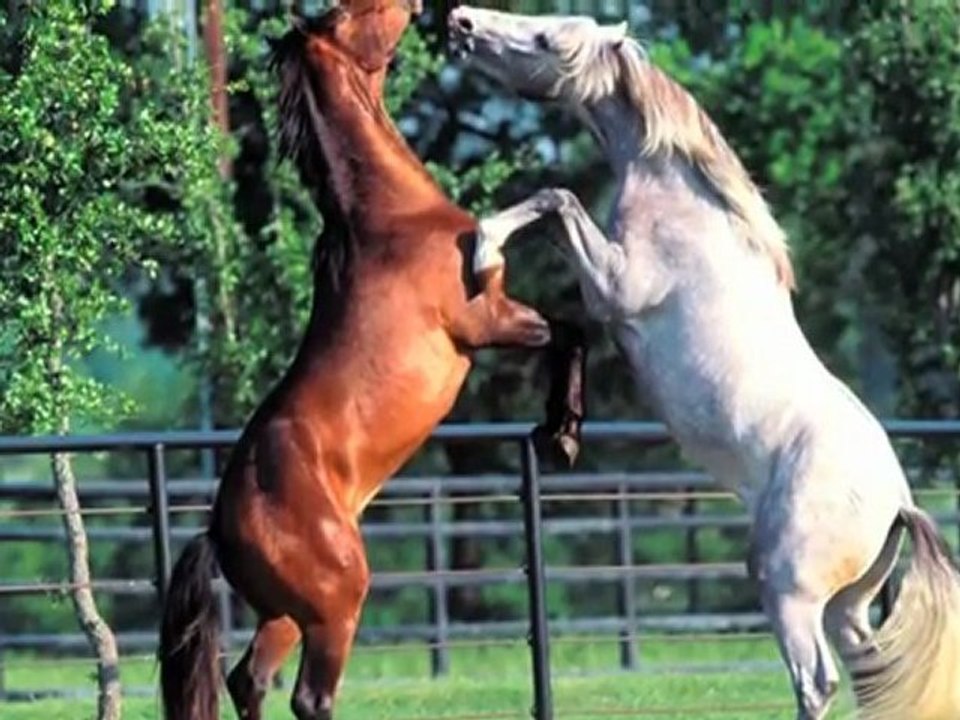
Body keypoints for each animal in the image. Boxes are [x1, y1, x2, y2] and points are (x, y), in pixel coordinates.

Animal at [157, 4, 587, 719]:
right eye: (347, 12)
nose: (417, 8)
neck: (390, 217)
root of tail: (218, 530)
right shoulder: (485, 321)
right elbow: (562, 314)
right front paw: (562, 431)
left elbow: (569, 330)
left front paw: (562, 432)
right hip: (336, 608)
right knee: (308, 697)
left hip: (286, 616)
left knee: (248, 679)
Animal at [449, 7, 960, 720]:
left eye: (547, 38)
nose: (461, 21)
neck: (685, 201)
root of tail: (898, 501)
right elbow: (553, 208)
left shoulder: (616, 285)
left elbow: (556, 199)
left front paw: (484, 248)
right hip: (848, 605)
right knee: (871, 669)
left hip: (789, 590)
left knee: (817, 680)